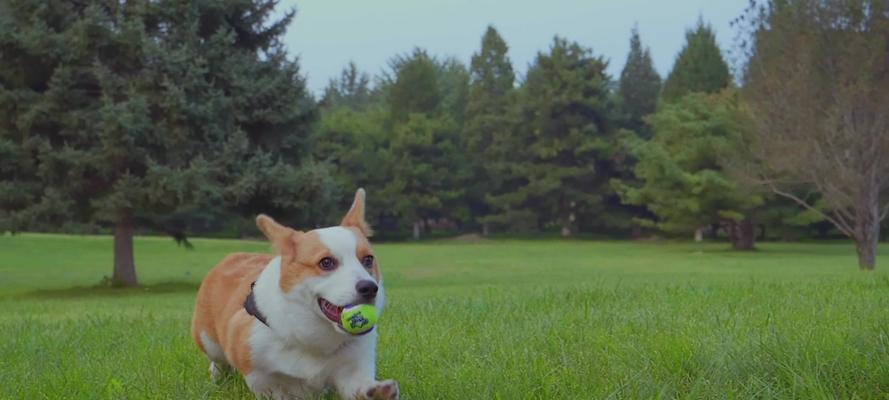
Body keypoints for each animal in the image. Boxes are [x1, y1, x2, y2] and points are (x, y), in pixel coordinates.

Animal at [192, 189, 398, 398]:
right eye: (326, 262)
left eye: (368, 259)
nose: (370, 288)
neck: (315, 338)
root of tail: (233, 256)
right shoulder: (256, 369)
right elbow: (271, 388)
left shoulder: (353, 368)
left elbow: (358, 386)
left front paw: (379, 392)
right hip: (208, 341)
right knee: (218, 360)